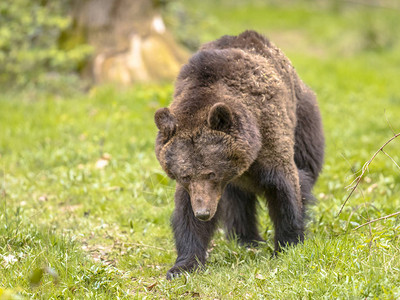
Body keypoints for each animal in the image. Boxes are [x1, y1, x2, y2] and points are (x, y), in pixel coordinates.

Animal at [154, 30, 324, 278]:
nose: (203, 212)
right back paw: (245, 239)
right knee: (238, 201)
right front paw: (183, 265)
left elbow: (283, 189)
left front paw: (287, 245)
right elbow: (185, 212)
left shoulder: (269, 135)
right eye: (184, 175)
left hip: (304, 119)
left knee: (306, 168)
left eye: (211, 173)